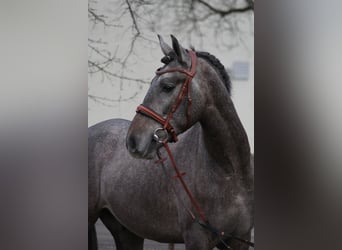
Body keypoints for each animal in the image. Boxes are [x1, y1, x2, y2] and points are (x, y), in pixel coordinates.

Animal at [89, 35, 254, 250]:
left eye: (167, 86)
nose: (132, 140)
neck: (229, 171)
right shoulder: (196, 239)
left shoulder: (239, 240)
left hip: (127, 231)